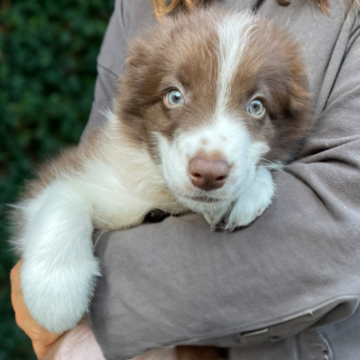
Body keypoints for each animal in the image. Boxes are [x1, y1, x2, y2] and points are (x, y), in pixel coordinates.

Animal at [10, 6, 310, 360]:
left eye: (257, 106)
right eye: (174, 96)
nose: (209, 173)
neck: (162, 198)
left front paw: (245, 191)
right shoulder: (84, 169)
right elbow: (62, 195)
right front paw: (54, 291)